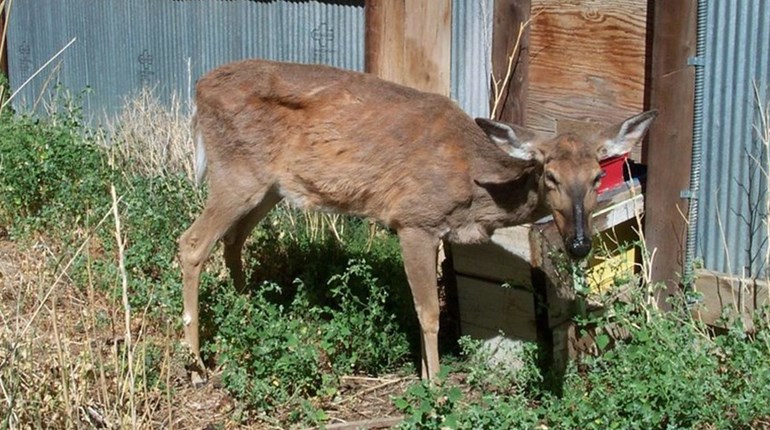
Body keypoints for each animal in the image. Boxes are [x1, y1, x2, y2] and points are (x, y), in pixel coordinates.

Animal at [178, 59, 657, 384]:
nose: (579, 244)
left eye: (597, 177)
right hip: (236, 174)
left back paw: (250, 314)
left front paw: (429, 375)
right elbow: (429, 313)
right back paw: (199, 365)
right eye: (550, 175)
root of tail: (198, 90)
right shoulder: (413, 221)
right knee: (192, 243)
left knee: (233, 241)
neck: (474, 188)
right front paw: (436, 386)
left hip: (269, 187)